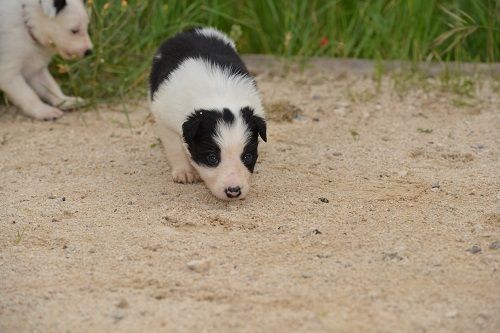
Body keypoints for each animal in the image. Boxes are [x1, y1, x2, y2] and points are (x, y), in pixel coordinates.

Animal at [148, 27, 266, 200]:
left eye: (247, 157)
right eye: (212, 158)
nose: (233, 191)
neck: (220, 95)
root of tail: (190, 31)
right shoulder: (165, 120)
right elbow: (175, 147)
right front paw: (184, 172)